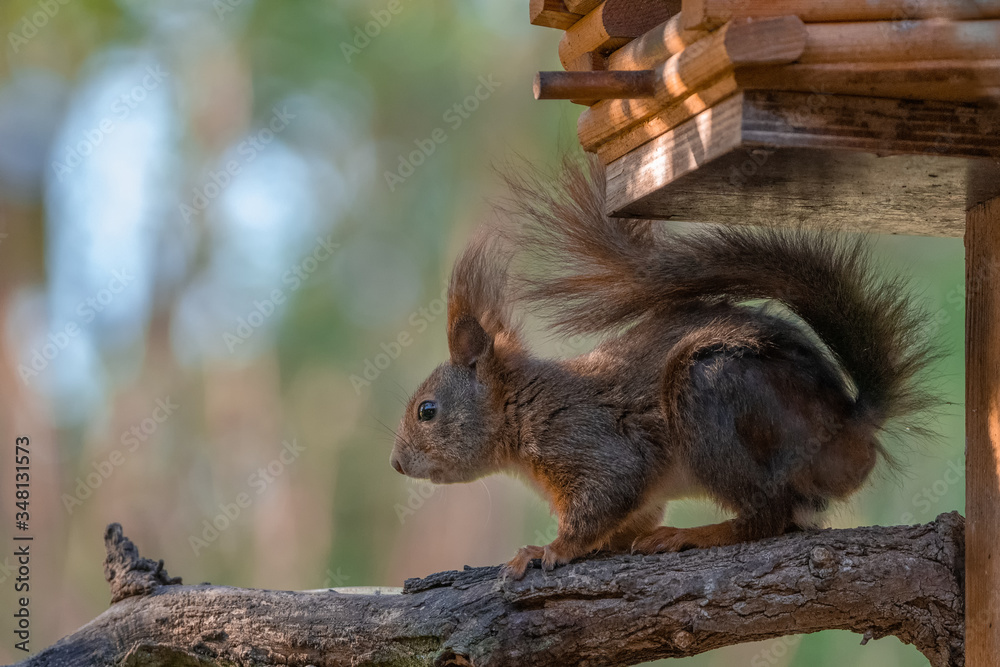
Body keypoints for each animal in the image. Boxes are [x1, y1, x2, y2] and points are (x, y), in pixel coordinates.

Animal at [386, 155, 932, 580]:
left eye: (427, 411)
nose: (396, 464)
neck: (523, 406)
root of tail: (849, 426)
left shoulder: (589, 441)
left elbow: (606, 495)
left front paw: (547, 549)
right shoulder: (638, 494)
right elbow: (630, 514)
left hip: (710, 395)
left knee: (768, 518)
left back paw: (694, 535)